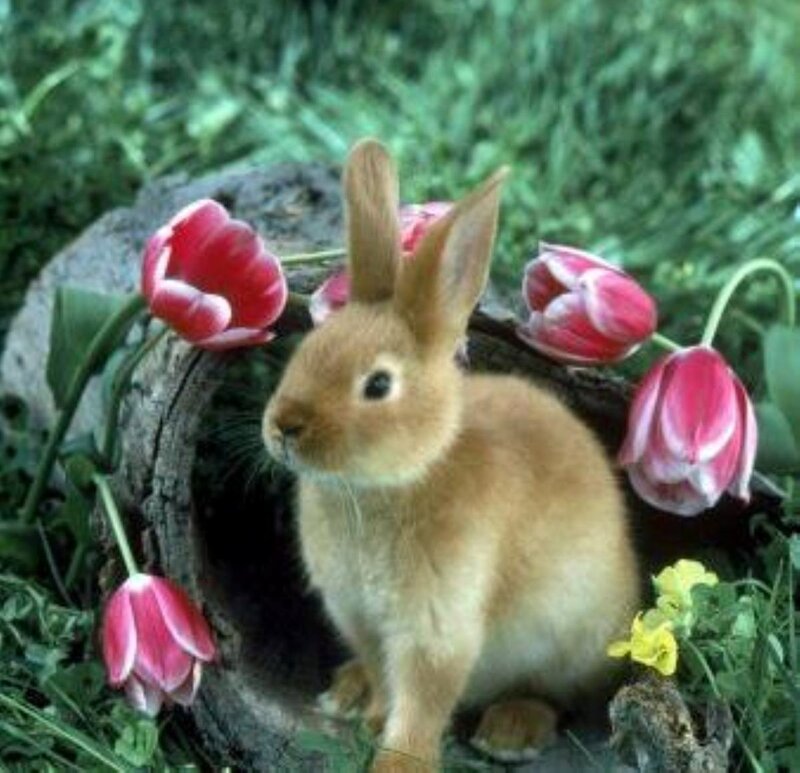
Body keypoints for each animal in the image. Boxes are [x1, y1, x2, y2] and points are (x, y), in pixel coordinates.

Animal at [263, 139, 640, 772]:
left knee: (555, 695)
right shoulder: (357, 615)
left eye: (378, 385)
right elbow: (388, 680)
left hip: (573, 642)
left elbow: (423, 700)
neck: (403, 475)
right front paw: (369, 716)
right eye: (308, 349)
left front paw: (396, 763)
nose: (282, 427)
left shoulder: (438, 624)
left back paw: (510, 732)